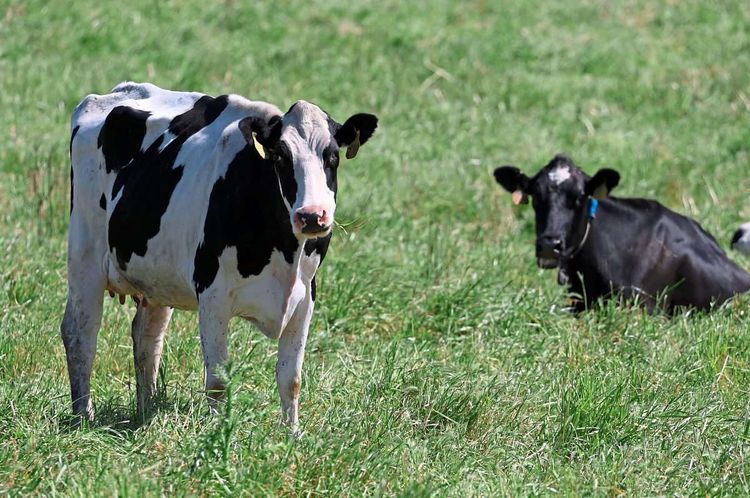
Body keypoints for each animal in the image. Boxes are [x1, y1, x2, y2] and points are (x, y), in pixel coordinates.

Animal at [63, 82, 382, 432]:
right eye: (281, 157)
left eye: (333, 157)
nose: (312, 216)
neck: (285, 253)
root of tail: (118, 92)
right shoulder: (212, 296)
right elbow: (217, 381)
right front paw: (217, 434)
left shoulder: (305, 297)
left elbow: (291, 379)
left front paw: (292, 434)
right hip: (85, 254)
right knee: (80, 333)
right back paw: (83, 415)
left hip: (157, 277)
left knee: (147, 337)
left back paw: (145, 414)